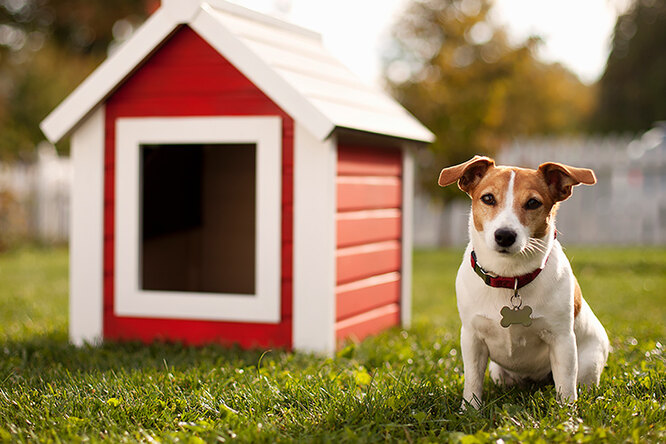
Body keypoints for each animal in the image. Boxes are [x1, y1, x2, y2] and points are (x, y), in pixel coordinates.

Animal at [436, 156, 608, 410]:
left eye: (533, 203)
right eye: (488, 198)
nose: (505, 235)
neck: (511, 278)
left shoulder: (562, 340)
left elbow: (566, 386)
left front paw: (567, 415)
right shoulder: (472, 338)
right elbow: (473, 381)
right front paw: (469, 410)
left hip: (588, 363)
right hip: (499, 372)